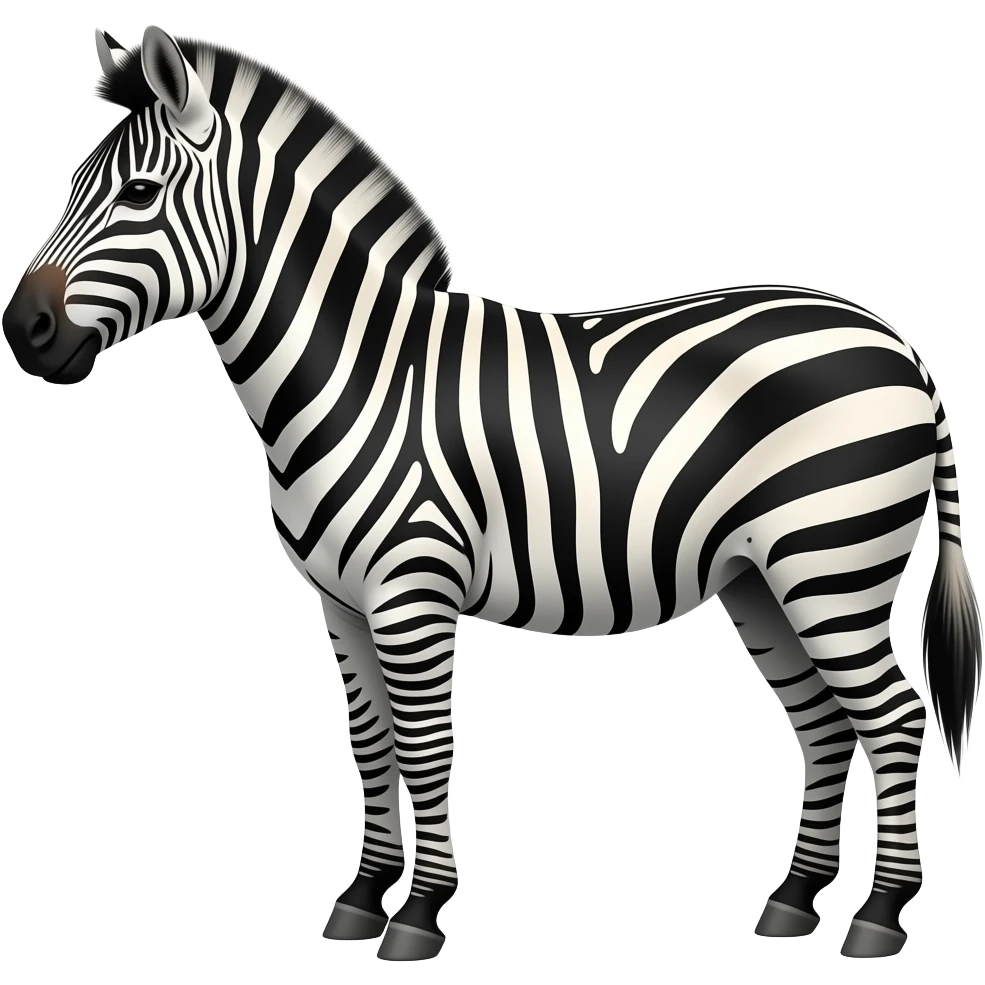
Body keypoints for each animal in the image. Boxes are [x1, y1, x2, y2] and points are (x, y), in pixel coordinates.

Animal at [2, 25, 981, 963]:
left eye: (138, 194)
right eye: (72, 184)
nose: (24, 330)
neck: (353, 374)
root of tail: (900, 346)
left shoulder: (413, 592)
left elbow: (426, 746)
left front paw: (417, 914)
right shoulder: (340, 603)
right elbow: (372, 745)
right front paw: (361, 897)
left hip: (831, 564)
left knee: (893, 719)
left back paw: (878, 917)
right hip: (761, 581)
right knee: (823, 725)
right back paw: (790, 902)